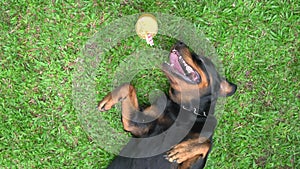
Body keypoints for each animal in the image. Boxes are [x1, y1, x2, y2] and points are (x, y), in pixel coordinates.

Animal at [97, 41, 236, 169]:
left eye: (201, 59)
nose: (180, 42)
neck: (185, 109)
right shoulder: (136, 123)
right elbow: (128, 86)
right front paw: (110, 98)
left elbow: (207, 144)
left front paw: (183, 151)